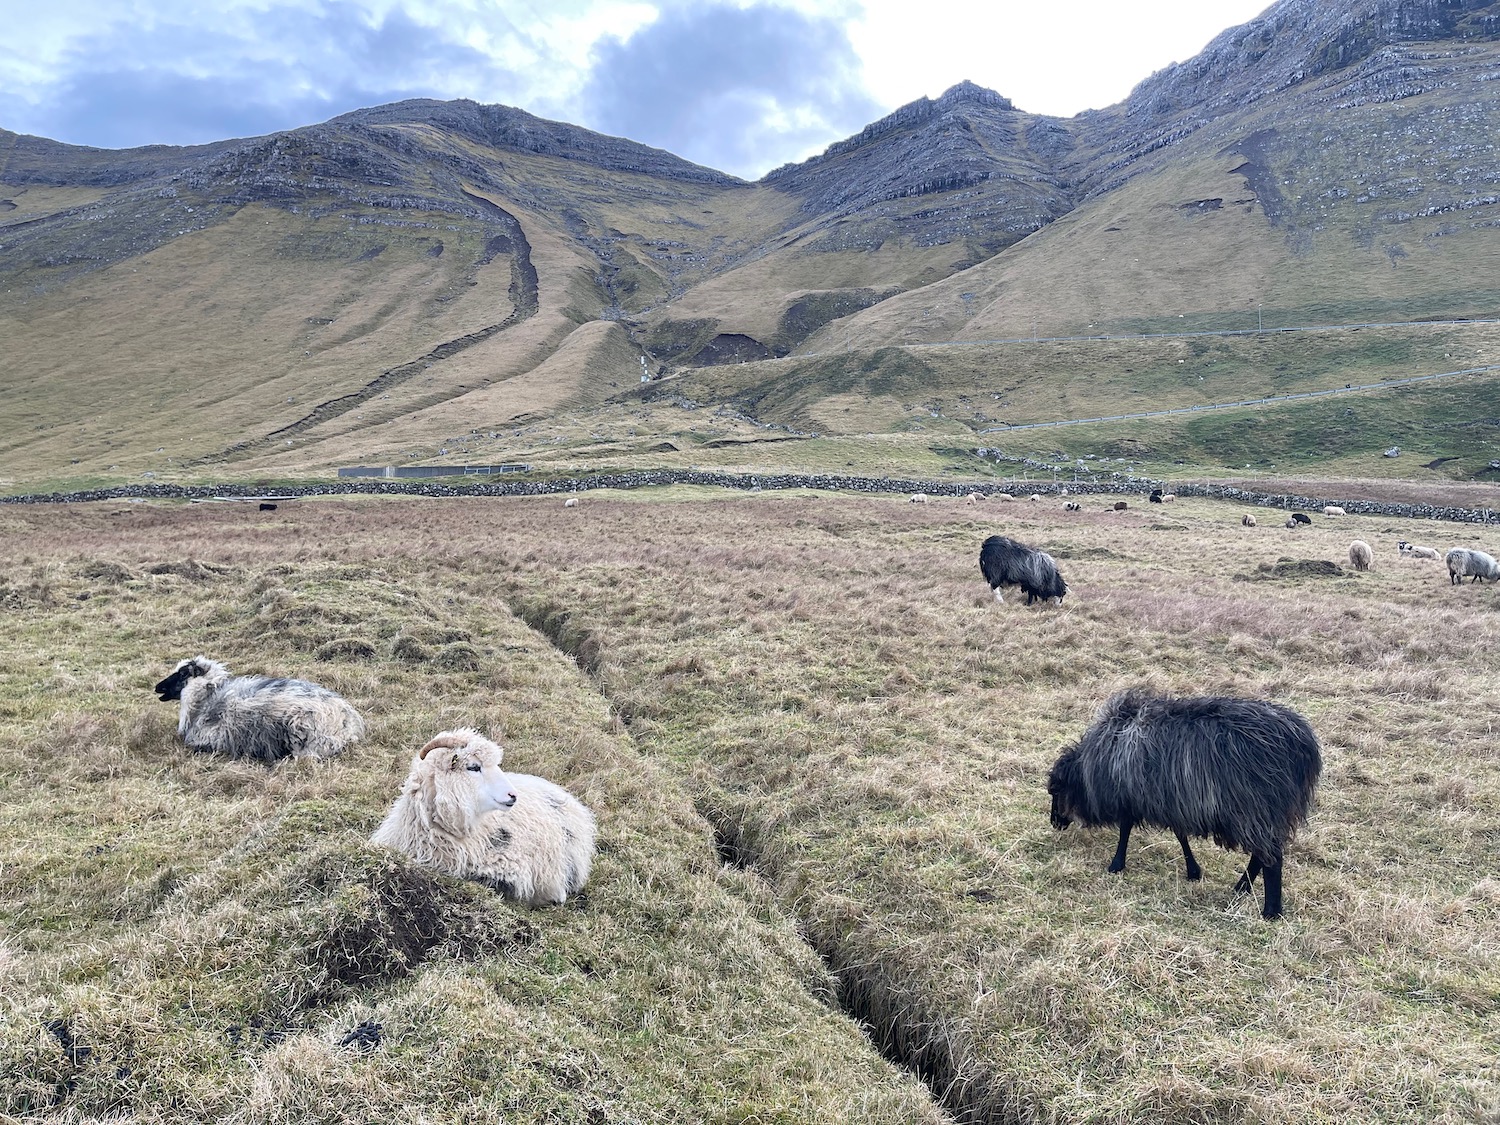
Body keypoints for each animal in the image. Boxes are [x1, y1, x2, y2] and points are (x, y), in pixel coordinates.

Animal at [1044, 693, 1326, 918]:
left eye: (1055, 791)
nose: (1054, 823)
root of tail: (1304, 746)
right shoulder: (1170, 802)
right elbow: (1180, 837)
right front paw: (1193, 871)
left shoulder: (1132, 797)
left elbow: (1125, 830)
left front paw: (1116, 865)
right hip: (1263, 814)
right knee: (1261, 855)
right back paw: (1241, 888)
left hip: (1255, 809)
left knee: (1272, 859)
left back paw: (1270, 912)